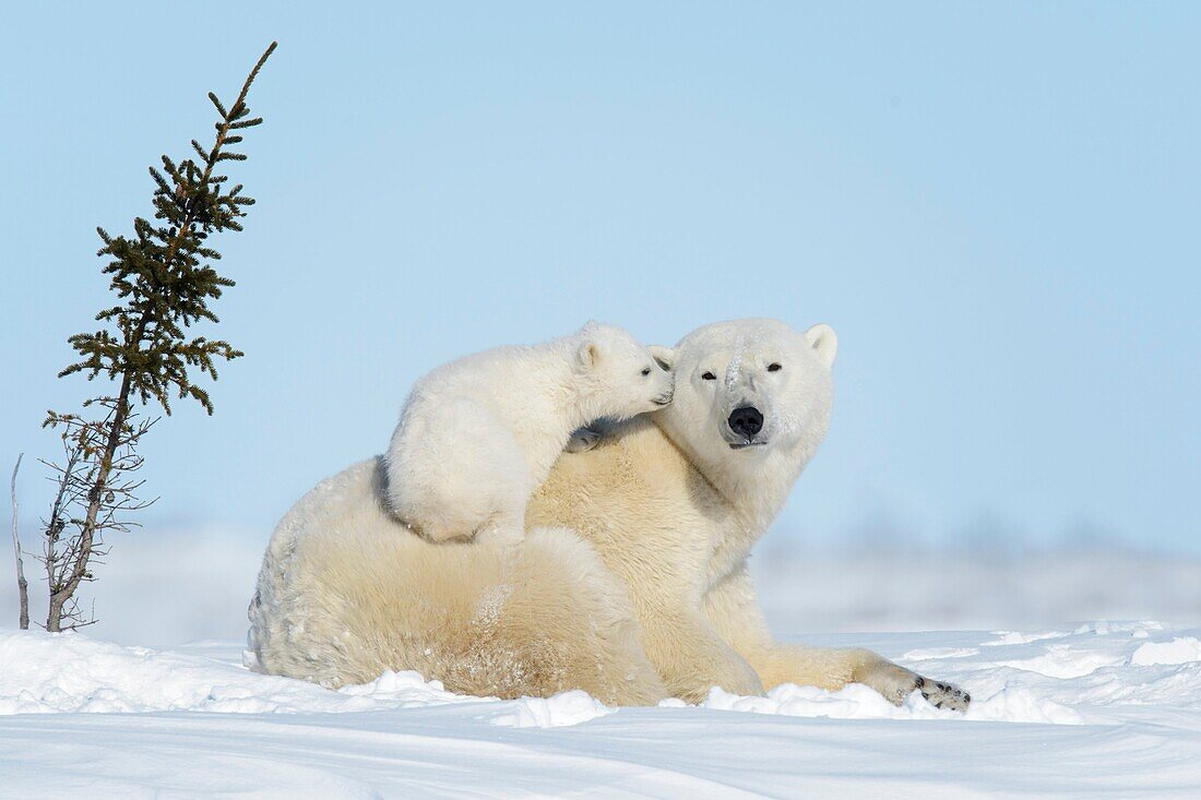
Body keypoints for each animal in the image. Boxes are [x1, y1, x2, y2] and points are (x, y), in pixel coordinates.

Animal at [248, 314, 970, 706]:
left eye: (774, 365)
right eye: (709, 375)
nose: (746, 418)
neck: (701, 481)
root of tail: (272, 623)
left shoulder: (724, 567)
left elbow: (759, 645)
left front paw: (932, 687)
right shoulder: (647, 523)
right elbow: (667, 622)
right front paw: (737, 697)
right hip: (440, 592)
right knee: (572, 621)